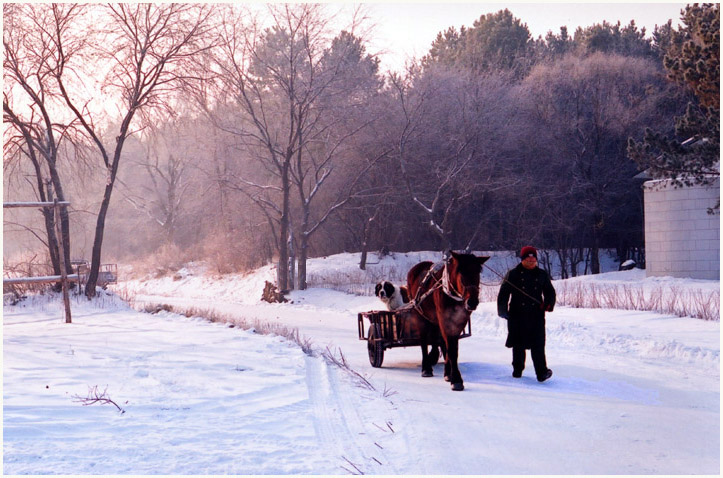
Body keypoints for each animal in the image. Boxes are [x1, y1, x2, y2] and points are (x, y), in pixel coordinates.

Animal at [410, 252, 490, 390]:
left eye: (478, 272)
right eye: (461, 273)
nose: (472, 302)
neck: (452, 295)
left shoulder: (459, 320)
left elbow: (452, 347)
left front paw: (449, 374)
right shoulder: (444, 319)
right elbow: (451, 349)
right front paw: (457, 379)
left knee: (439, 340)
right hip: (420, 315)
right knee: (424, 341)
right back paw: (426, 368)